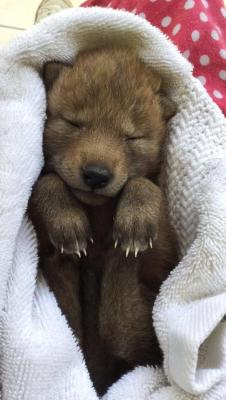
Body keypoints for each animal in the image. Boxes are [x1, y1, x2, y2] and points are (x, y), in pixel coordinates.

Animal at [29, 47, 178, 394]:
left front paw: (134, 221)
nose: (96, 175)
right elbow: (46, 181)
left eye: (133, 137)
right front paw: (67, 222)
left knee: (120, 327)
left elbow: (144, 184)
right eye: (73, 123)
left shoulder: (166, 258)